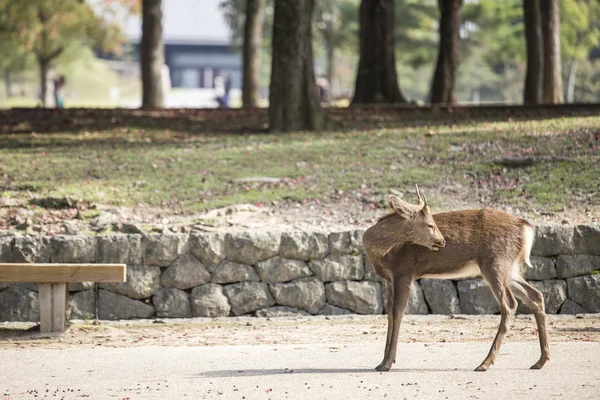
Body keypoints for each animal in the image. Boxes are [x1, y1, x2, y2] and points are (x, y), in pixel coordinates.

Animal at [360, 186, 548, 374]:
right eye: (430, 224)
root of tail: (526, 228)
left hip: (495, 262)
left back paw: (485, 363)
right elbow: (390, 314)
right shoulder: (389, 279)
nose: (442, 241)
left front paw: (387, 362)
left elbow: (398, 312)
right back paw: (540, 360)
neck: (383, 253)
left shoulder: (404, 272)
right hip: (509, 269)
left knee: (509, 305)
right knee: (536, 295)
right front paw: (382, 361)